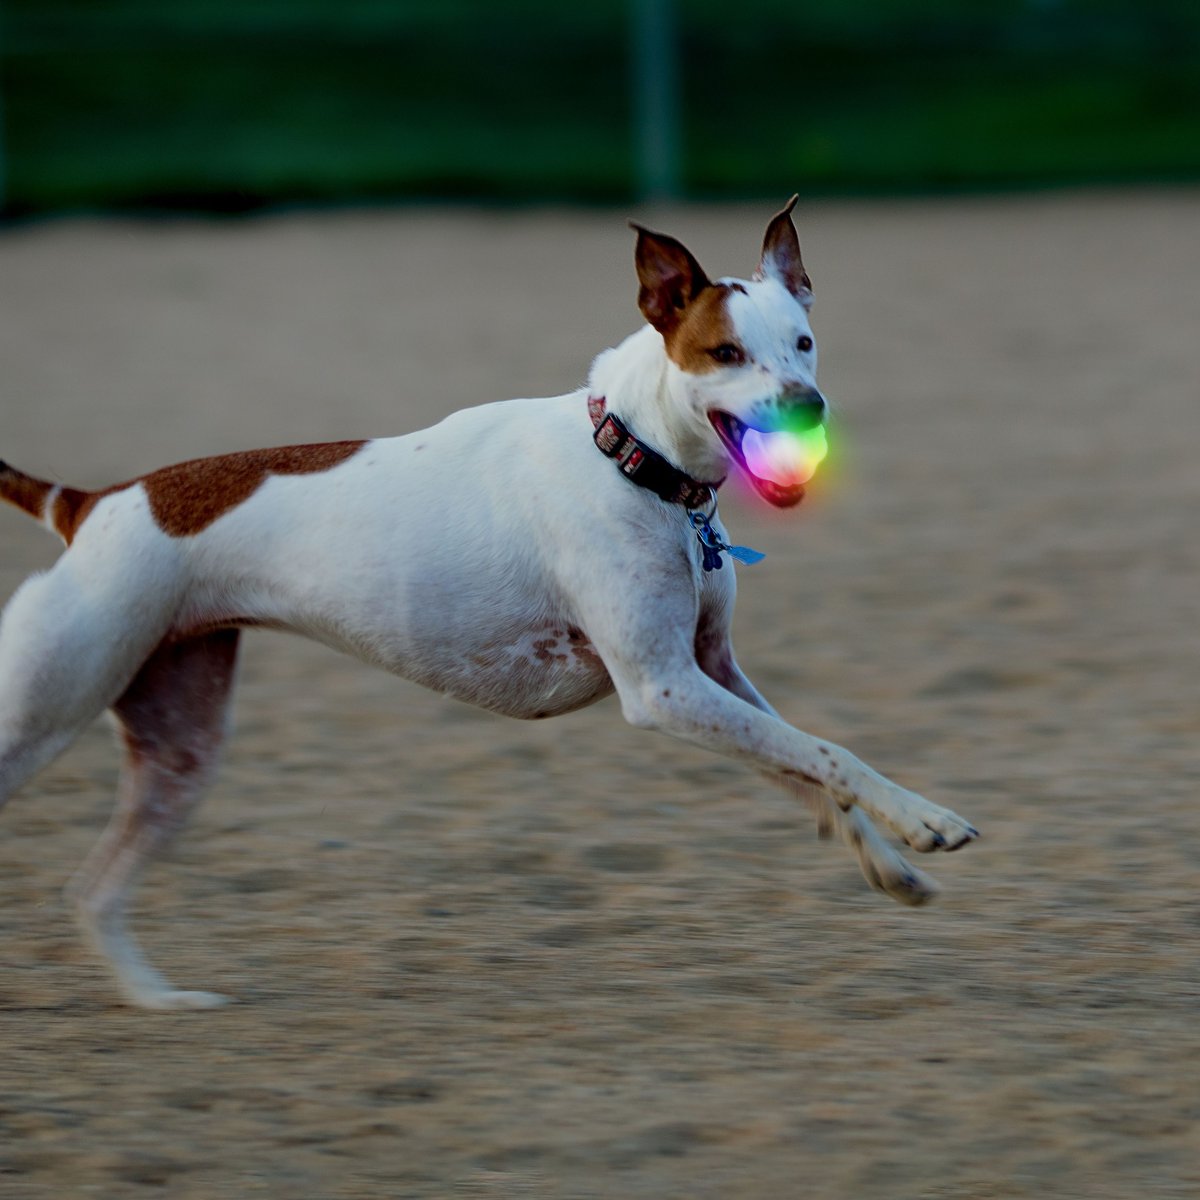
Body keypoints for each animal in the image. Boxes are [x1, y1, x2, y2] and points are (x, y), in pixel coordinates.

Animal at [0, 201, 974, 1008]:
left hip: (181, 752)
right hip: (49, 708)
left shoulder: (711, 670)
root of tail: (87, 503)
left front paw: (889, 865)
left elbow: (810, 769)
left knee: (92, 890)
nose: (808, 409)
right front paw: (927, 819)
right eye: (725, 353)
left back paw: (159, 1001)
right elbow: (829, 751)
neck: (630, 456)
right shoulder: (663, 690)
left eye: (803, 342)